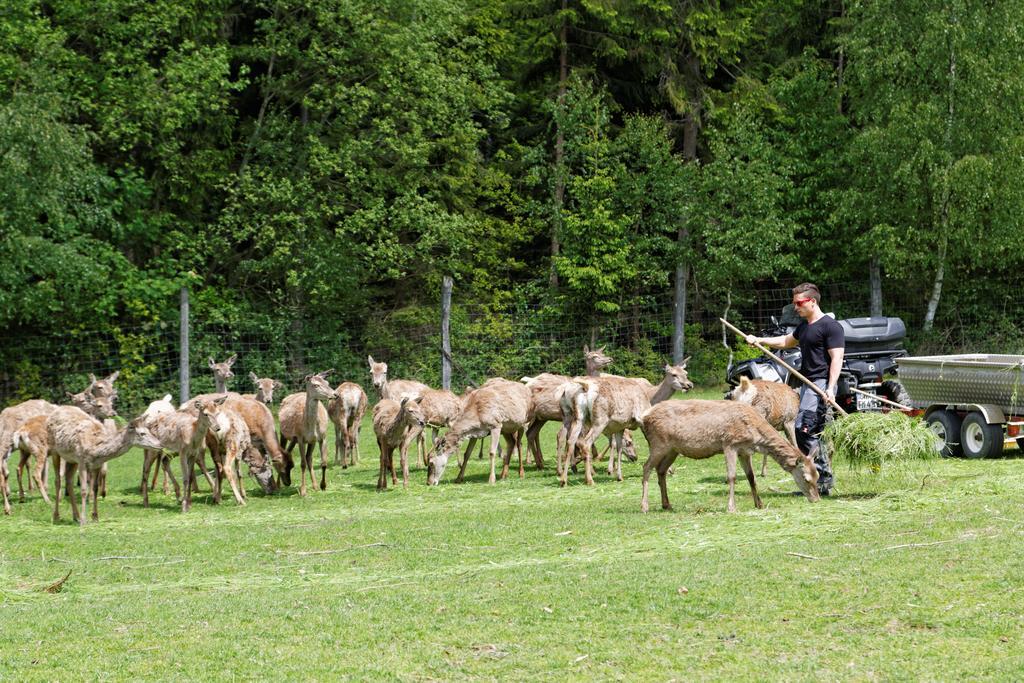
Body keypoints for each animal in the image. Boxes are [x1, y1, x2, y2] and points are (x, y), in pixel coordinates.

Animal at [638, 401, 823, 511]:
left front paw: (759, 504)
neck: (755, 435)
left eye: (818, 476)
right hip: (658, 443)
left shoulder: (744, 451)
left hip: (673, 449)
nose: (816, 499)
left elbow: (751, 477)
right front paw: (731, 507)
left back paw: (666, 504)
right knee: (646, 467)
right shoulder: (729, 444)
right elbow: (732, 476)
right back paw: (644, 506)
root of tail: (644, 417)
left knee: (661, 470)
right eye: (806, 478)